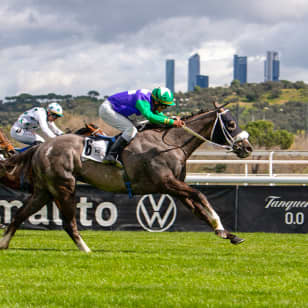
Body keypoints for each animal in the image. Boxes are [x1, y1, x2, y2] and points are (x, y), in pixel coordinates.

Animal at [0, 102, 253, 251]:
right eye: (231, 124)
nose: (248, 148)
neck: (169, 144)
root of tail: (42, 147)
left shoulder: (174, 187)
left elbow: (199, 210)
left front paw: (227, 234)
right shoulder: (167, 183)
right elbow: (201, 196)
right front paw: (221, 226)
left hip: (45, 190)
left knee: (20, 214)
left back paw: (4, 244)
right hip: (64, 187)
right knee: (68, 222)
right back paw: (86, 249)